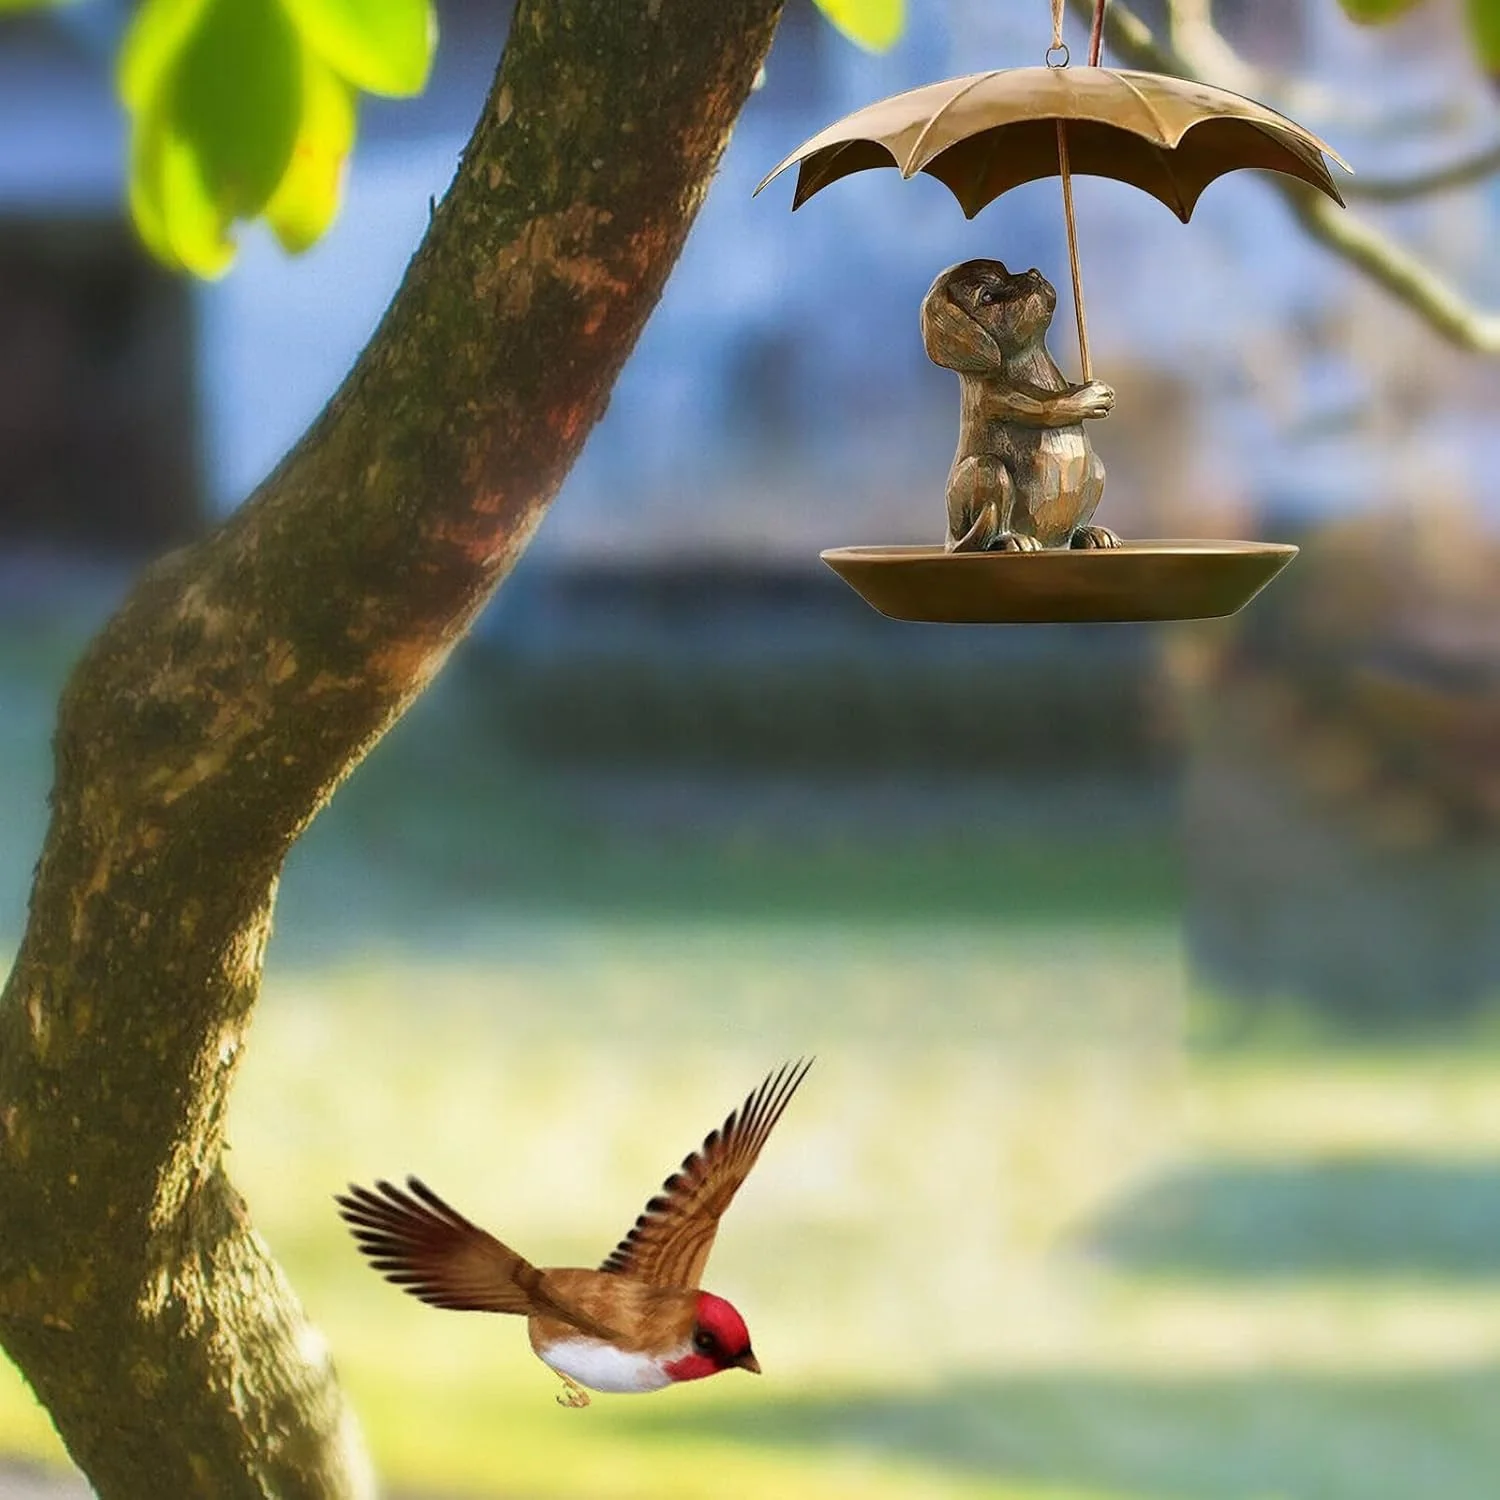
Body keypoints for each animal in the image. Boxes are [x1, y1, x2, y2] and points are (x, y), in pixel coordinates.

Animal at [921, 259, 1119, 554]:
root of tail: (950, 539)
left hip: (1096, 469)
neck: (1030, 358)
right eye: (986, 297)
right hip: (988, 471)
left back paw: (1090, 534)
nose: (1032, 274)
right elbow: (1048, 406)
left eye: (1005, 271)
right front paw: (1092, 395)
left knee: (1077, 525)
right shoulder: (998, 397)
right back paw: (1012, 540)